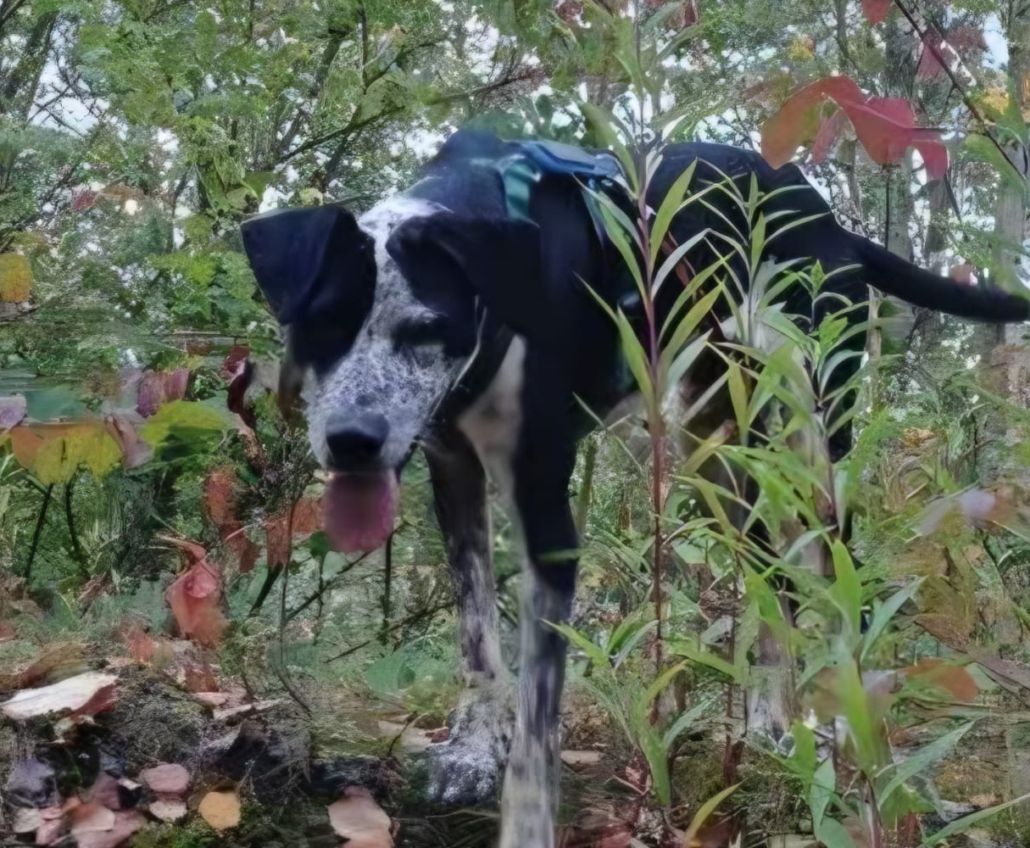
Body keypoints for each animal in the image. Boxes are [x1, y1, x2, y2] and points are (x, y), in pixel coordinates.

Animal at [241, 129, 1028, 847]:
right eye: (320, 324)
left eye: (425, 328)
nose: (352, 440)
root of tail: (829, 220)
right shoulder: (453, 475)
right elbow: (477, 639)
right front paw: (470, 752)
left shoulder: (547, 520)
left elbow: (538, 726)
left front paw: (526, 821)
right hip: (712, 442)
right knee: (771, 571)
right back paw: (769, 723)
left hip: (813, 434)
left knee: (836, 576)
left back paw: (844, 729)